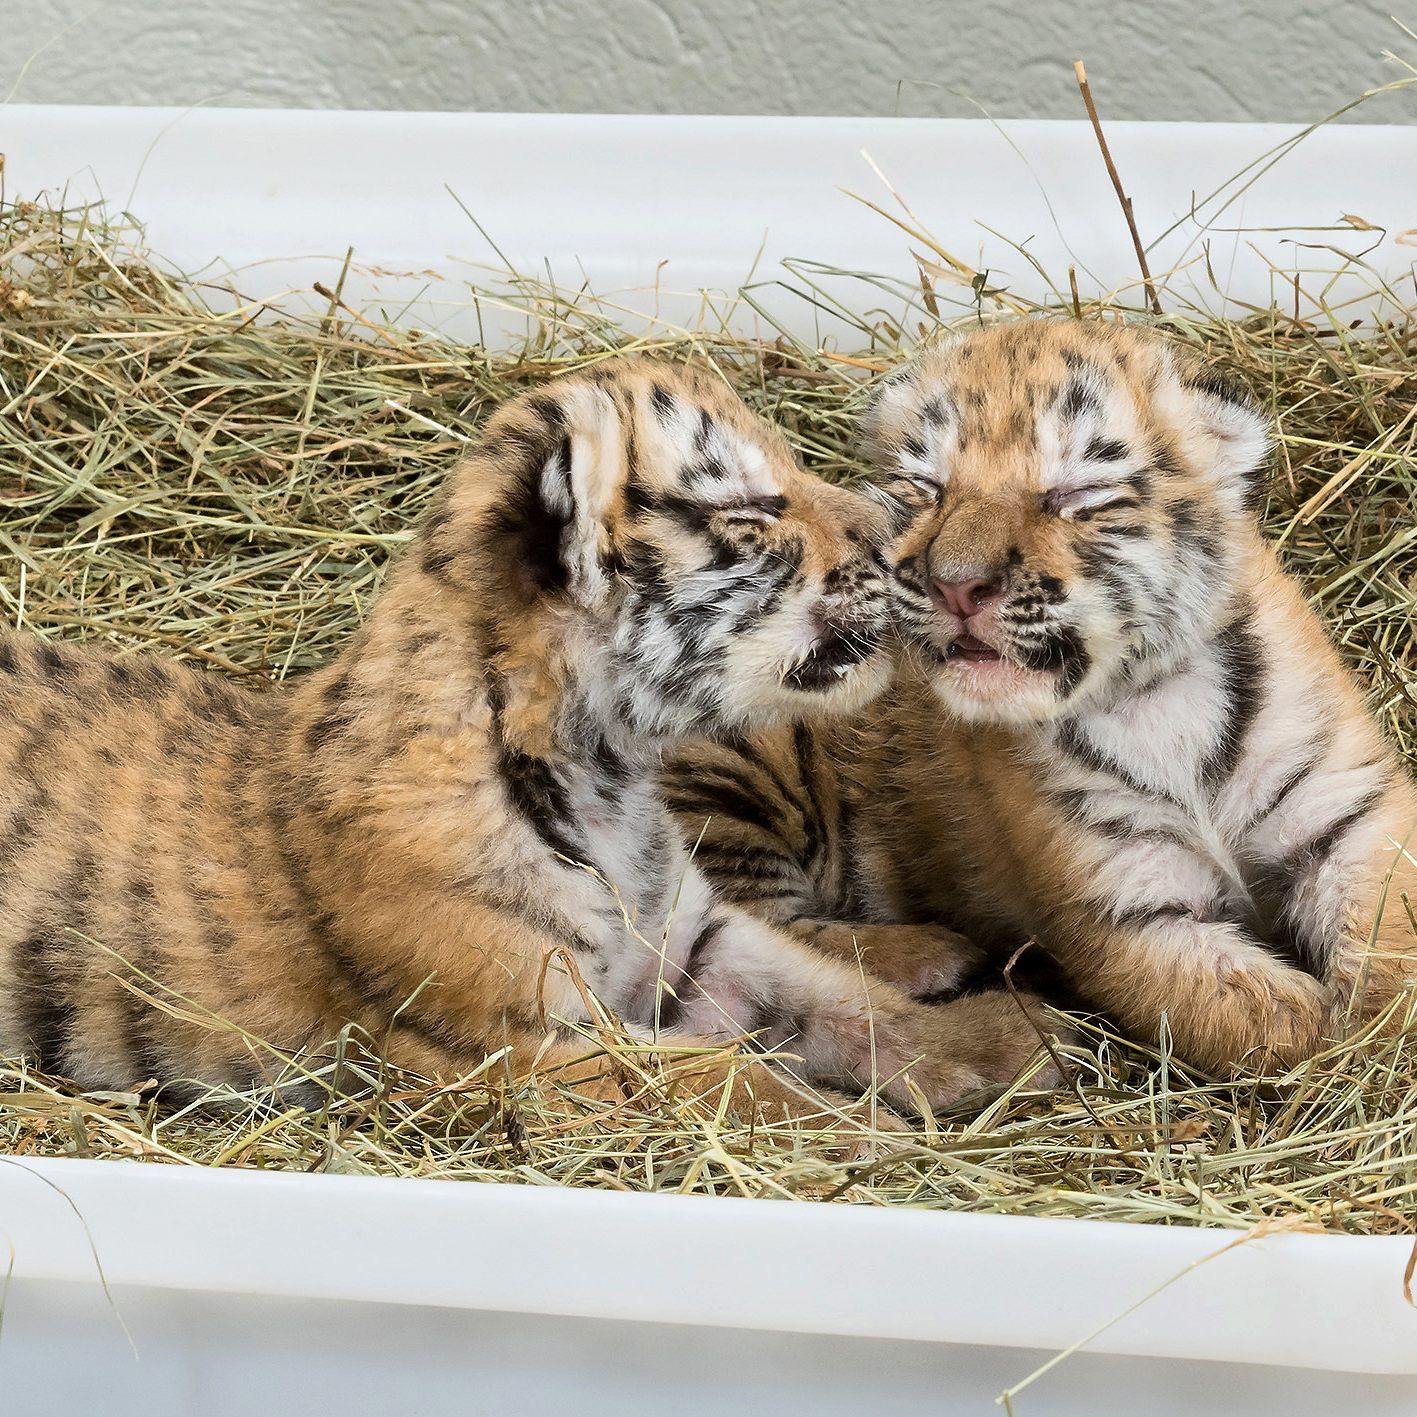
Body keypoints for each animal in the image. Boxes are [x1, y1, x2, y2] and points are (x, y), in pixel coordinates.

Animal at [0, 355, 1060, 1119]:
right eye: (749, 510)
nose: (897, 538)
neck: (610, 777)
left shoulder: (697, 943)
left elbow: (844, 1001)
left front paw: (1011, 1041)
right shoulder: (518, 1046)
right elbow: (729, 1078)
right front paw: (867, 1139)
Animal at [667, 320, 1417, 1076]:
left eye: (1077, 492)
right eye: (925, 487)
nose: (955, 585)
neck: (1151, 697)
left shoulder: (1352, 815)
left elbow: (1389, 940)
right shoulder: (1117, 907)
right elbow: (1271, 1023)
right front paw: (1333, 1052)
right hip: (728, 781)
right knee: (751, 928)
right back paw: (937, 955)